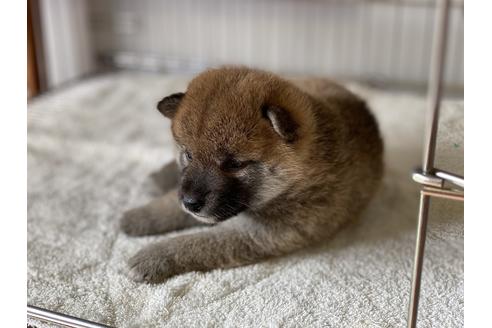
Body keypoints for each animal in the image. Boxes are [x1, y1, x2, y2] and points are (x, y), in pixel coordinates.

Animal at [121, 66, 382, 282]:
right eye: (188, 155)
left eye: (235, 164)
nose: (191, 203)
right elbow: (169, 205)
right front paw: (138, 217)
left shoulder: (259, 233)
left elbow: (198, 243)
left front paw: (152, 257)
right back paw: (159, 177)